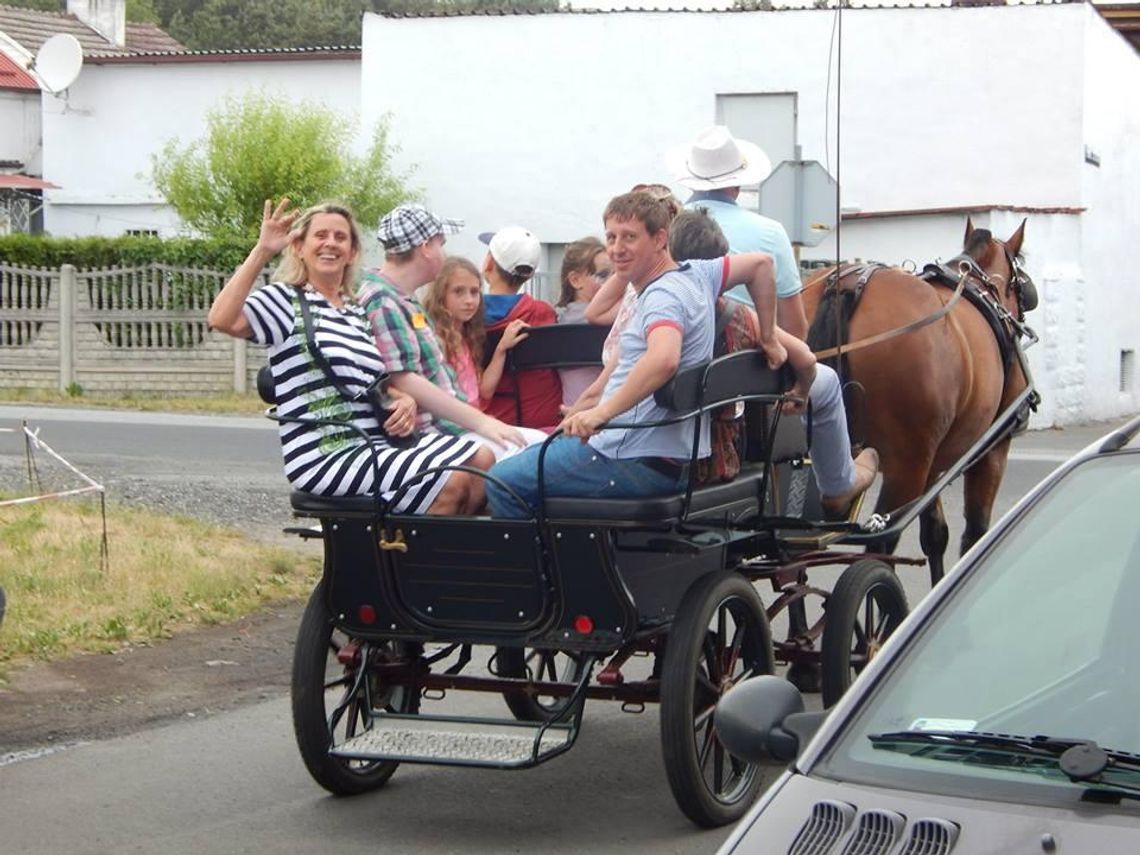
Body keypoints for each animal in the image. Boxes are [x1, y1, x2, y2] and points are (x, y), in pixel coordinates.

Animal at [802, 217, 1044, 588]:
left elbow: (935, 534)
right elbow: (975, 532)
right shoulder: (992, 449)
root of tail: (846, 286)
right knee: (880, 544)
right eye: (1021, 276)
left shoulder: (933, 465)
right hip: (906, 466)